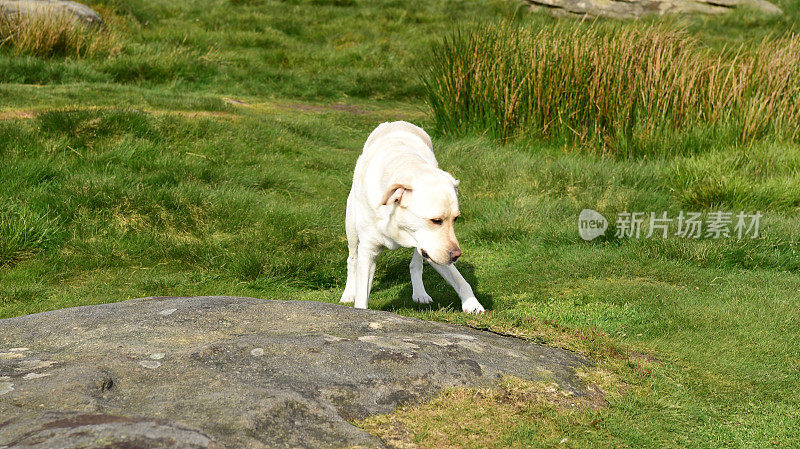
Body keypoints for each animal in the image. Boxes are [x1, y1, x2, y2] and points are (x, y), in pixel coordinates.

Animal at [340, 121, 484, 314]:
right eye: (436, 220)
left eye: (455, 219)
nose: (456, 255)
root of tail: (397, 122)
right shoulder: (368, 250)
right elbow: (362, 294)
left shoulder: (434, 249)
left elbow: (460, 279)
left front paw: (472, 304)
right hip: (351, 226)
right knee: (352, 260)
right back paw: (348, 293)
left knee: (416, 264)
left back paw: (420, 293)